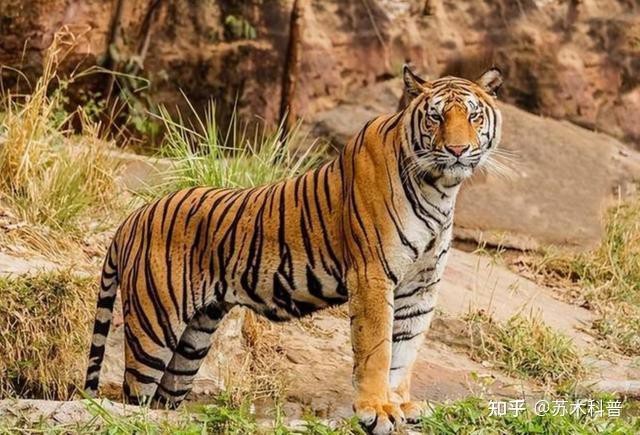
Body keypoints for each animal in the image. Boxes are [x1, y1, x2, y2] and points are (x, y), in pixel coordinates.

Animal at [84, 65, 503, 434]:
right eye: (435, 117)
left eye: (473, 115)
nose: (458, 149)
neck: (440, 188)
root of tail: (132, 217)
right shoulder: (372, 275)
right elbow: (378, 349)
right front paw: (377, 411)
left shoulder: (421, 286)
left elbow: (405, 351)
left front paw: (399, 404)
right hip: (154, 327)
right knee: (134, 395)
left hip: (194, 339)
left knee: (163, 399)